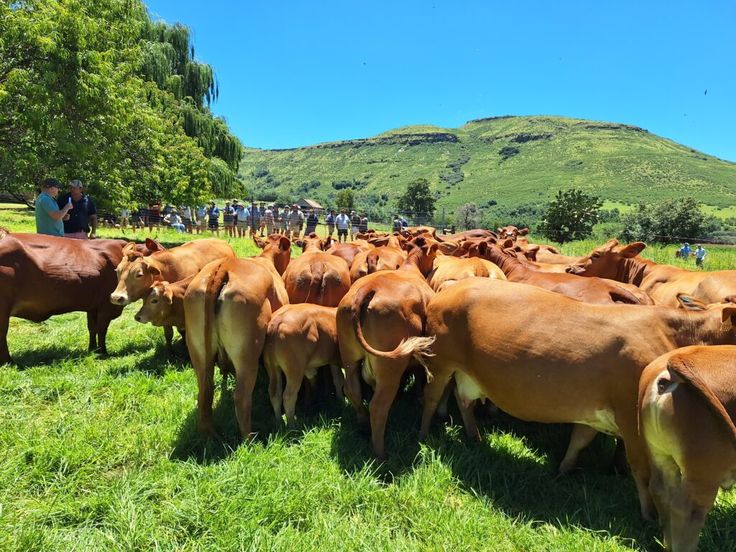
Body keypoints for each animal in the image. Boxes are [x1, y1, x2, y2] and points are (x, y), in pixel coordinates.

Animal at [183, 258, 288, 440]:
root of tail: (225, 265)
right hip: (247, 358)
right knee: (241, 398)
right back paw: (249, 439)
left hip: (199, 354)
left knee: (204, 393)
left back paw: (208, 435)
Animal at [338, 236, 440, 458]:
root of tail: (370, 287)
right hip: (390, 368)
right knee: (378, 406)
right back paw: (381, 454)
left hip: (349, 357)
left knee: (352, 390)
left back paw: (363, 425)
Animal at [408, 278, 736, 520]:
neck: (675, 333)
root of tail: (451, 287)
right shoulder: (631, 418)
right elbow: (641, 470)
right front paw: (649, 515)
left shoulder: (593, 410)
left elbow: (579, 441)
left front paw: (563, 471)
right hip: (440, 363)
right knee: (431, 397)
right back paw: (423, 434)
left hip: (468, 374)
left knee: (464, 400)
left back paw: (474, 437)